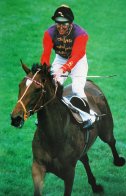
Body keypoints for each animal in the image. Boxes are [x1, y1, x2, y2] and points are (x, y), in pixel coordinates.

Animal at [10, 63, 125, 196]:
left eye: (37, 89)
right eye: (20, 85)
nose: (15, 118)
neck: (54, 136)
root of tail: (90, 82)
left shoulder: (69, 172)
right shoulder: (38, 166)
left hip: (106, 130)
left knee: (111, 141)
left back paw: (118, 161)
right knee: (85, 158)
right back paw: (95, 185)